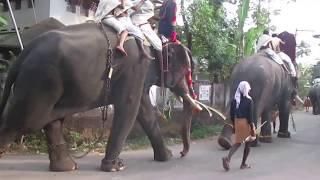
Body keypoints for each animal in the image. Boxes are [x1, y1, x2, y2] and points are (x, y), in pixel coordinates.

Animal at [0, 22, 202, 172]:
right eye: (188, 70)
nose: (182, 153)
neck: (155, 41)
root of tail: (24, 53)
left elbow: (144, 111)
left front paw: (166, 157)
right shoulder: (136, 67)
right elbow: (129, 107)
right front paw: (115, 167)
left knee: (52, 122)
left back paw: (68, 168)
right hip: (40, 81)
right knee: (23, 122)